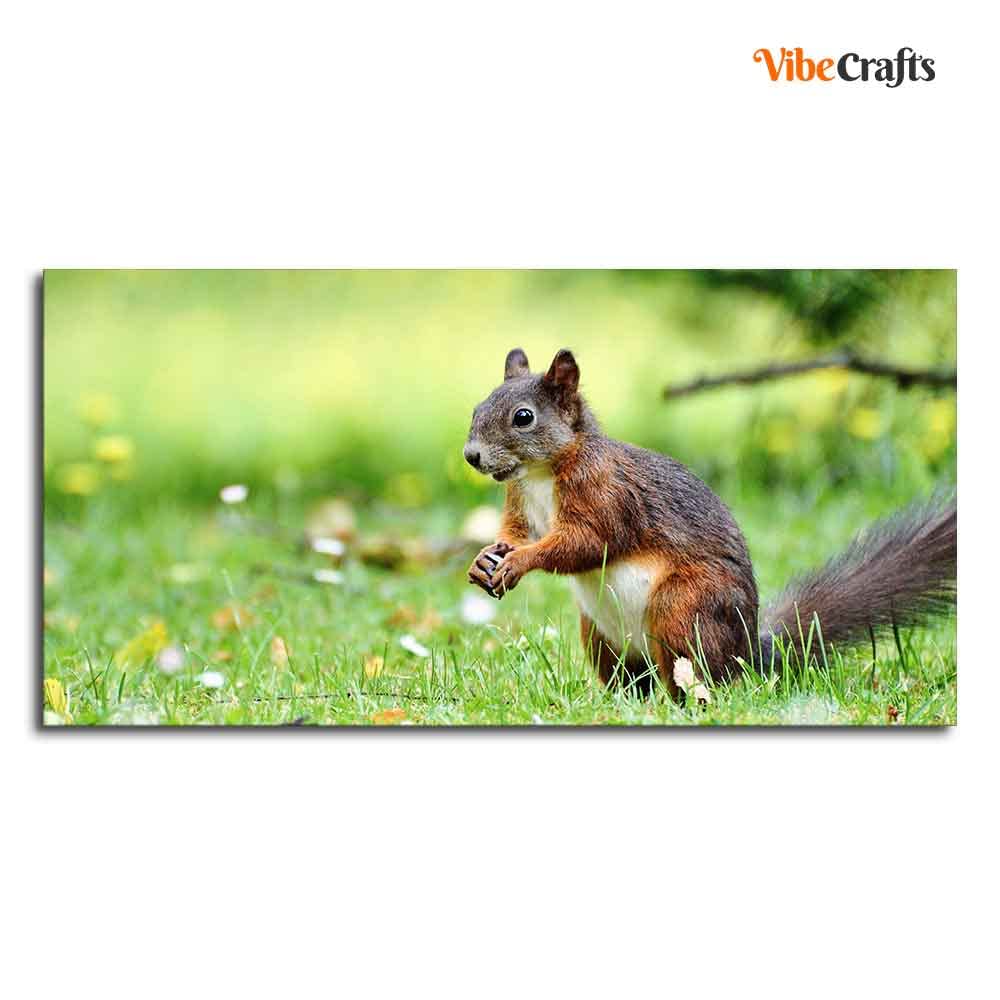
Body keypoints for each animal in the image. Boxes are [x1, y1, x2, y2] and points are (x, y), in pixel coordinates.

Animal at [464, 347, 956, 695]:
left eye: (523, 417)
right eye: (477, 408)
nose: (471, 456)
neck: (541, 474)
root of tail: (746, 653)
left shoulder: (606, 494)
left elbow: (586, 542)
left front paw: (520, 561)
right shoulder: (519, 500)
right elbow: (515, 532)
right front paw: (486, 558)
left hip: (684, 609)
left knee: (692, 676)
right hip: (600, 635)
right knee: (633, 681)